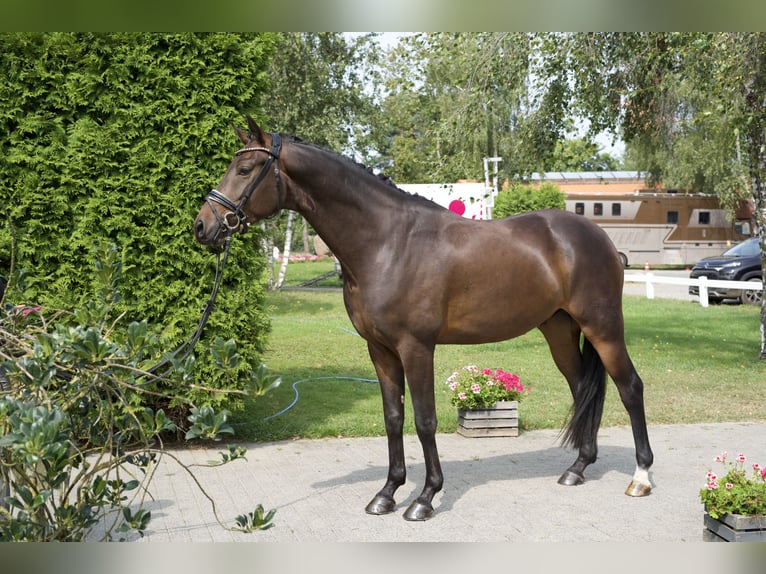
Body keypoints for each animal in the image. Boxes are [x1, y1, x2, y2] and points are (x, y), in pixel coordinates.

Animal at [192, 117, 656, 520]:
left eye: (245, 169)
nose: (202, 226)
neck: (386, 242)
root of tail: (599, 238)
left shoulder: (416, 347)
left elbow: (425, 420)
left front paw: (425, 498)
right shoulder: (379, 350)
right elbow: (393, 417)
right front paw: (386, 493)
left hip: (604, 328)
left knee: (630, 388)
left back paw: (640, 478)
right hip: (559, 329)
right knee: (583, 389)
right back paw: (577, 469)